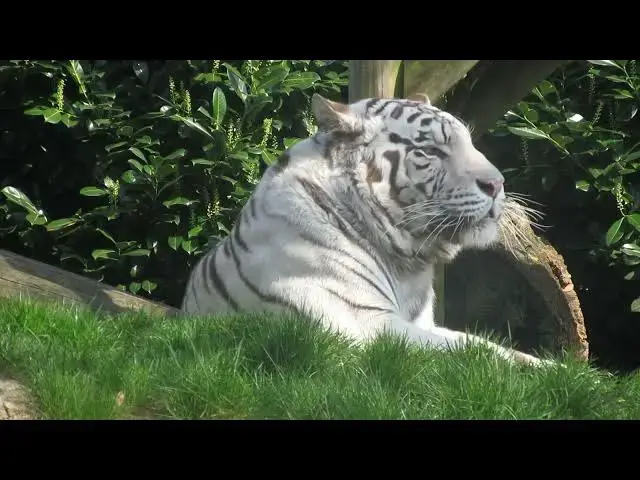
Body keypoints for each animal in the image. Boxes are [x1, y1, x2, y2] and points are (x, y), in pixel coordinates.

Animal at [181, 92, 551, 367]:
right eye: (431, 150)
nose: (497, 184)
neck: (409, 262)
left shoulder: (423, 323)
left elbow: (484, 343)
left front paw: (557, 367)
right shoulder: (367, 325)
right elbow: (478, 353)